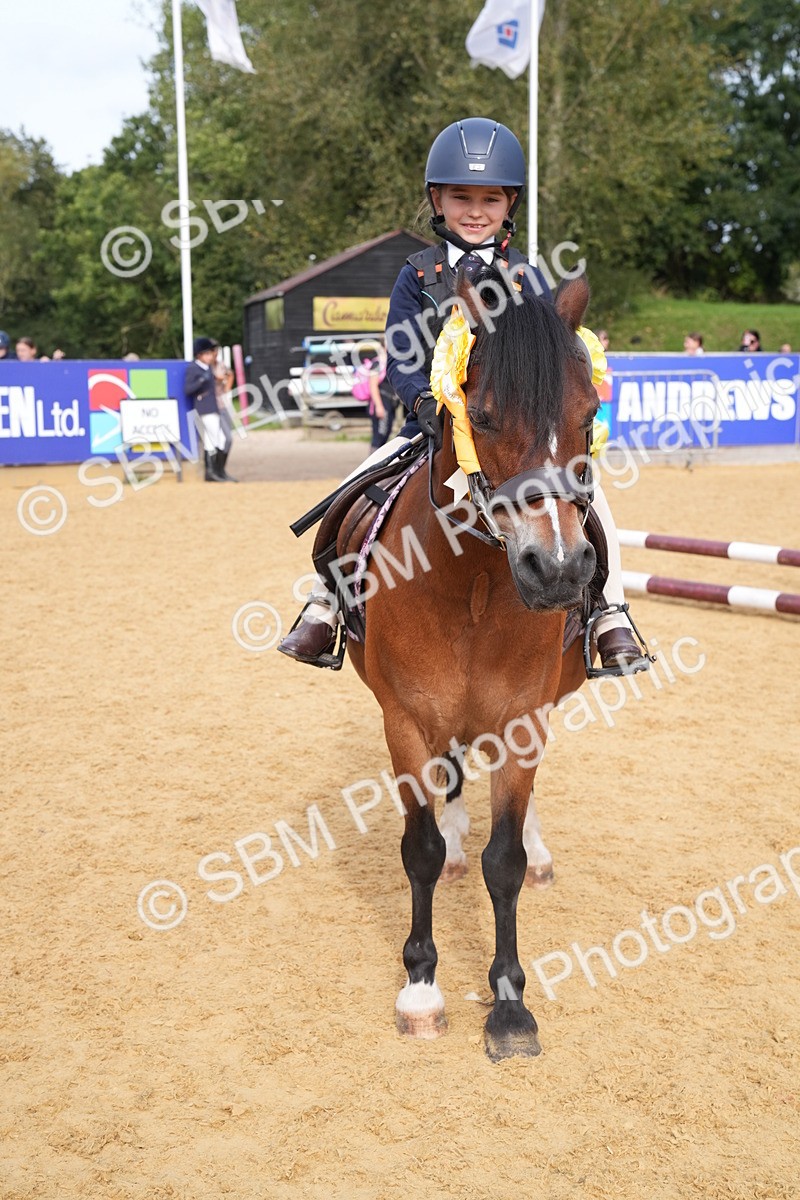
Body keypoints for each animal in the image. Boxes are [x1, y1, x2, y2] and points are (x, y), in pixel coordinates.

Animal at [339, 270, 600, 1061]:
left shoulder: (522, 721)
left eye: (592, 413)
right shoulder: (404, 720)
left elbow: (504, 859)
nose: (558, 569)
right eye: (479, 415)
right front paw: (422, 987)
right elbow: (419, 849)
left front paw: (510, 1001)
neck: (476, 584)